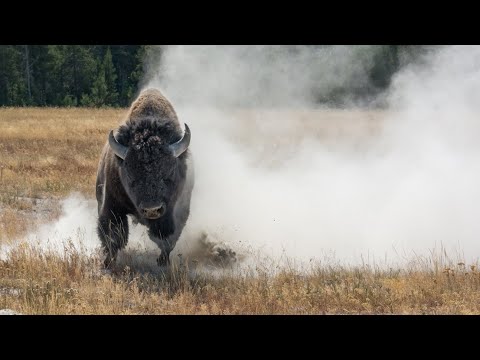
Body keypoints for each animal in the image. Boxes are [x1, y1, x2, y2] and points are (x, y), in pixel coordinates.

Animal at [94, 88, 194, 268]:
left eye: (169, 173)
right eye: (131, 175)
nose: (151, 209)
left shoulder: (176, 209)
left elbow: (168, 238)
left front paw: (162, 261)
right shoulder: (111, 204)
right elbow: (113, 235)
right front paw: (107, 263)